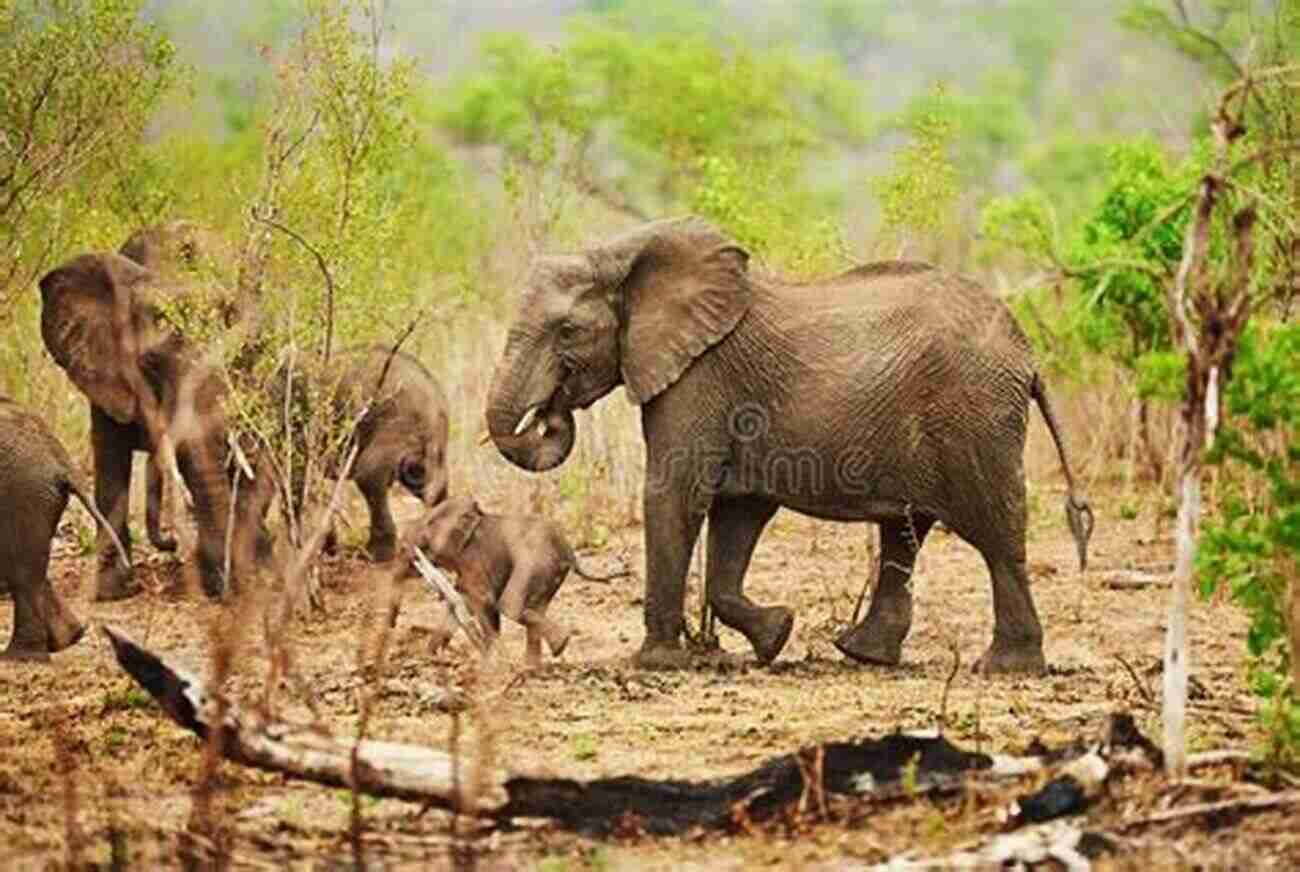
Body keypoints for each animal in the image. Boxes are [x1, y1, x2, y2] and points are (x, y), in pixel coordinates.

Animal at [400, 499, 634, 662]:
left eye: (429, 524)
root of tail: (569, 551)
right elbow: (459, 604)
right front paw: (429, 656)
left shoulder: (473, 558)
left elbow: (485, 602)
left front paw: (492, 662)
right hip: (549, 571)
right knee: (535, 607)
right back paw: (535, 664)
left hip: (536, 561)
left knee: (510, 605)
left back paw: (560, 645)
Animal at [483, 217, 1092, 675]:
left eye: (565, 332)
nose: (551, 412)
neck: (622, 252)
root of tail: (1026, 354)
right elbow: (736, 515)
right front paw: (776, 636)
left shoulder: (700, 378)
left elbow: (674, 495)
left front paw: (655, 662)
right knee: (905, 531)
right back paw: (864, 654)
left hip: (974, 414)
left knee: (995, 532)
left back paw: (1005, 667)